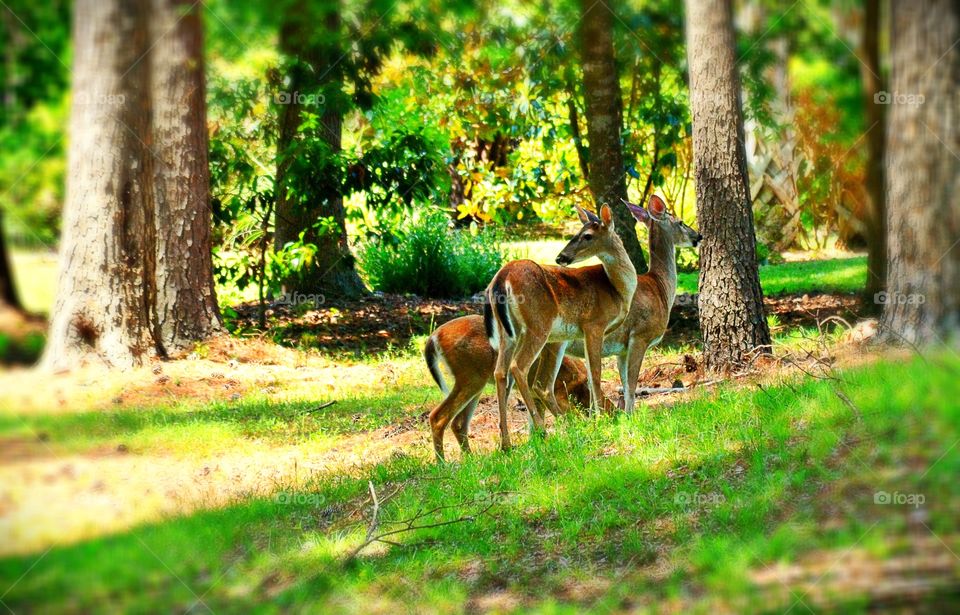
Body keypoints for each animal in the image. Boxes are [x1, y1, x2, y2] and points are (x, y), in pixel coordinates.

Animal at [423, 314, 612, 461]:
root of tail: (433, 337)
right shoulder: (560, 393)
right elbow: (571, 415)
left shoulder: (536, 397)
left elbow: (533, 428)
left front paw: (538, 448)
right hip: (470, 378)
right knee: (438, 417)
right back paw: (442, 463)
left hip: (475, 383)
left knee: (458, 423)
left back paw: (470, 460)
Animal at [483, 203, 641, 450]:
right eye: (577, 233)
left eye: (587, 235)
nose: (561, 257)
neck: (616, 289)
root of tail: (501, 279)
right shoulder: (593, 324)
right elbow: (596, 373)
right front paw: (600, 421)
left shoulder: (573, 335)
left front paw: (595, 420)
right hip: (538, 324)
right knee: (519, 367)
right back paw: (545, 429)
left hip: (507, 332)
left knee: (501, 371)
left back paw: (507, 443)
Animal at [531, 195, 701, 414]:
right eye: (680, 222)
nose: (698, 235)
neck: (660, 288)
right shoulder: (640, 335)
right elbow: (632, 384)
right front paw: (630, 416)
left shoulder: (622, 349)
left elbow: (626, 385)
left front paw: (627, 416)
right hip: (555, 341)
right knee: (542, 386)